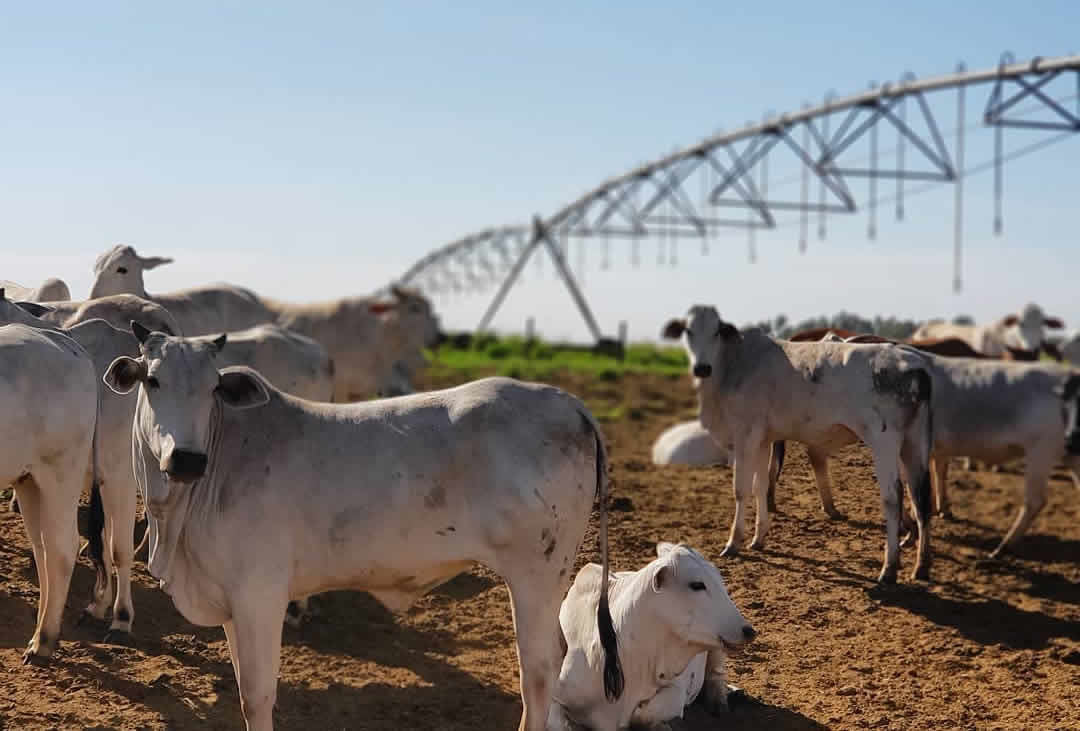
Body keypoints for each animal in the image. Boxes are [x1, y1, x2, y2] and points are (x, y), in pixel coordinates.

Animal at [101, 326, 626, 729]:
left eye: (213, 387)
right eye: (152, 380)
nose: (186, 459)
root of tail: (570, 404)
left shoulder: (260, 597)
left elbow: (256, 697)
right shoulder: (232, 605)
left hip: (536, 575)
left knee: (539, 670)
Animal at [548, 542, 751, 729]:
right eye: (697, 585)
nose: (749, 631)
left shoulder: (676, 689)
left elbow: (642, 713)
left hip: (717, 650)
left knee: (716, 675)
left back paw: (723, 699)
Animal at [660, 304, 933, 583]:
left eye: (717, 332)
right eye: (688, 330)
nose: (701, 368)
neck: (733, 364)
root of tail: (913, 363)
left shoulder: (745, 435)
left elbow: (741, 489)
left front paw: (733, 542)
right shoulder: (763, 438)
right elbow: (760, 486)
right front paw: (758, 538)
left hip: (884, 441)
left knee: (893, 496)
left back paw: (889, 568)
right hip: (914, 442)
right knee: (920, 496)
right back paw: (921, 566)